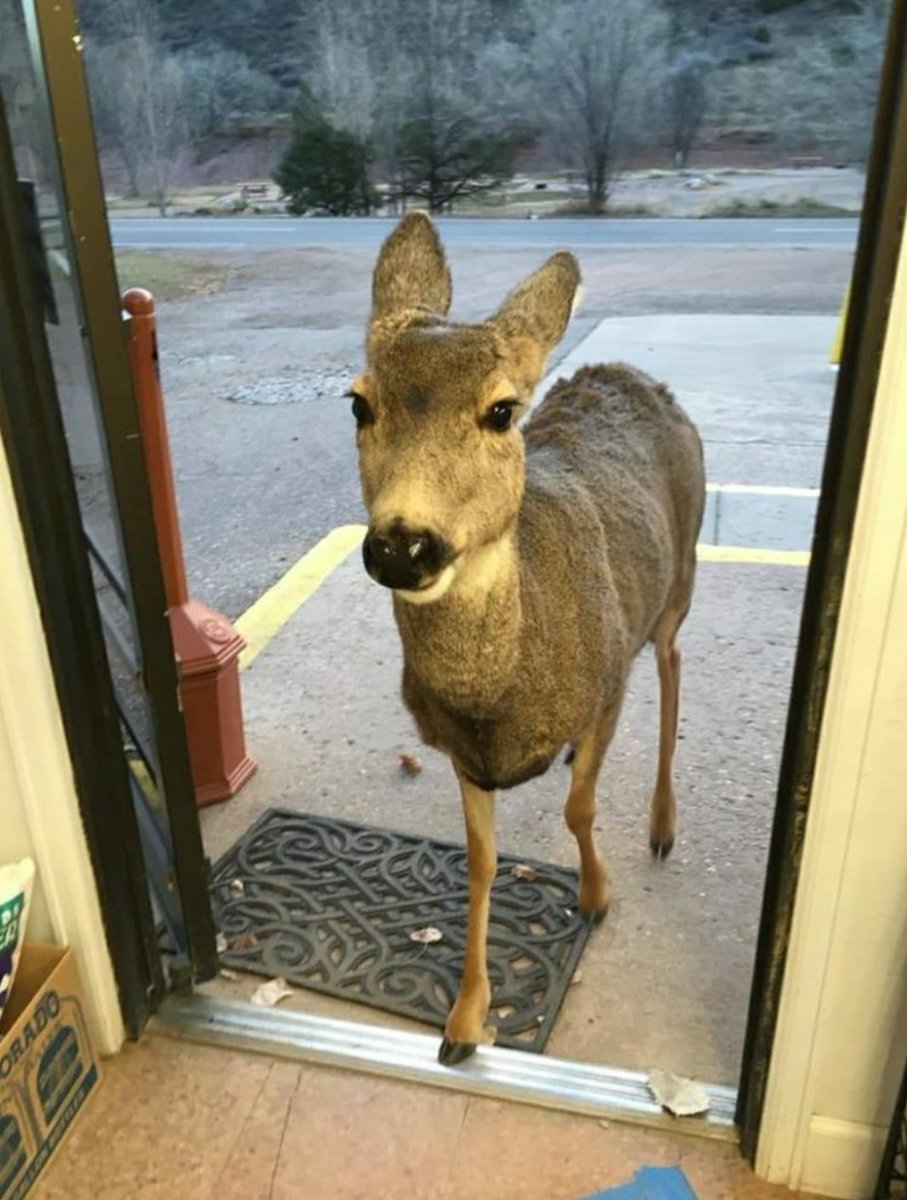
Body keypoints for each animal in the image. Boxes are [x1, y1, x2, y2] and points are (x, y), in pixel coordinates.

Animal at [350, 213, 705, 1066]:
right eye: (358, 404)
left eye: (502, 411)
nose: (402, 545)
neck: (500, 695)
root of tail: (630, 371)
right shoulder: (460, 752)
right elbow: (480, 862)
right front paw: (463, 1022)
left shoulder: (605, 685)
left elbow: (579, 809)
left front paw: (597, 894)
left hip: (679, 578)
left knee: (672, 664)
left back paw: (661, 826)